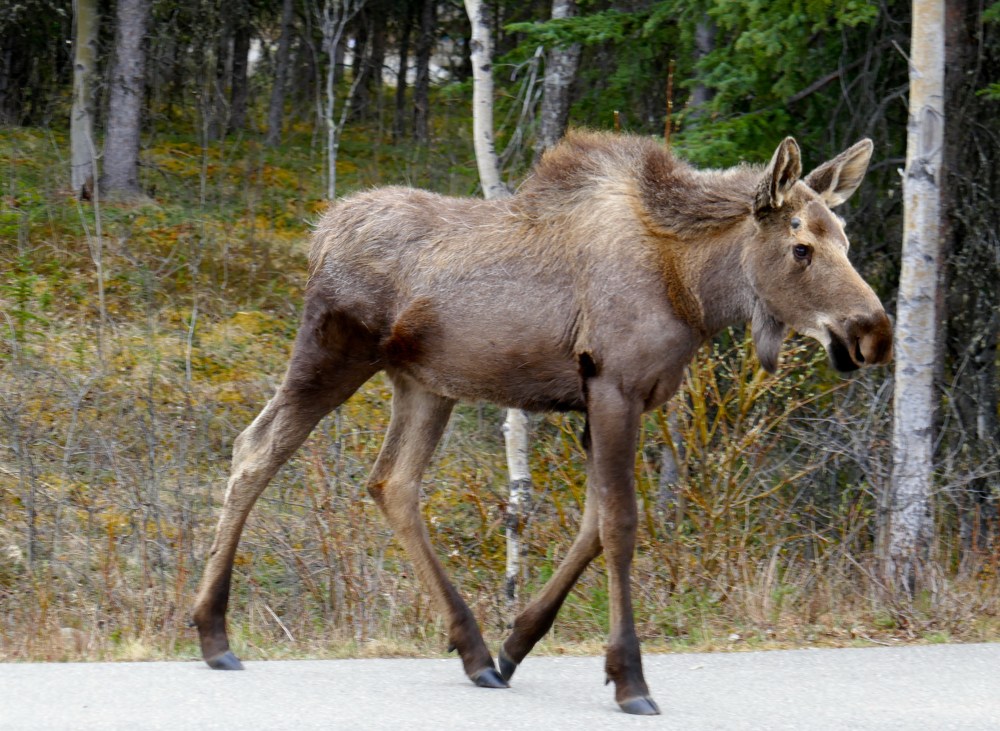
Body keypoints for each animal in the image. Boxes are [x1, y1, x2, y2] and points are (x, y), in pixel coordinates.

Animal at [192, 131, 893, 715]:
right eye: (802, 247)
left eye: (845, 240)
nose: (874, 333)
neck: (695, 292)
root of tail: (320, 232)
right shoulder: (612, 387)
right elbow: (620, 524)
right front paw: (630, 678)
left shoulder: (609, 403)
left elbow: (592, 525)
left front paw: (516, 644)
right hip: (333, 354)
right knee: (255, 449)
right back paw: (213, 633)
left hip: (424, 384)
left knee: (392, 482)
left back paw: (475, 651)